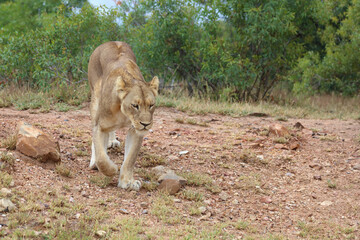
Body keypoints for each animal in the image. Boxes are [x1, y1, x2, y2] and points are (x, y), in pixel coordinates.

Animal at [87, 41, 159, 191]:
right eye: (135, 105)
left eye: (151, 105)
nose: (145, 124)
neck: (124, 114)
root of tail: (111, 41)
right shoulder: (100, 125)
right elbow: (101, 158)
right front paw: (111, 169)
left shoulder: (136, 132)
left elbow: (130, 159)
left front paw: (127, 182)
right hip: (94, 99)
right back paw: (94, 161)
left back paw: (111, 141)